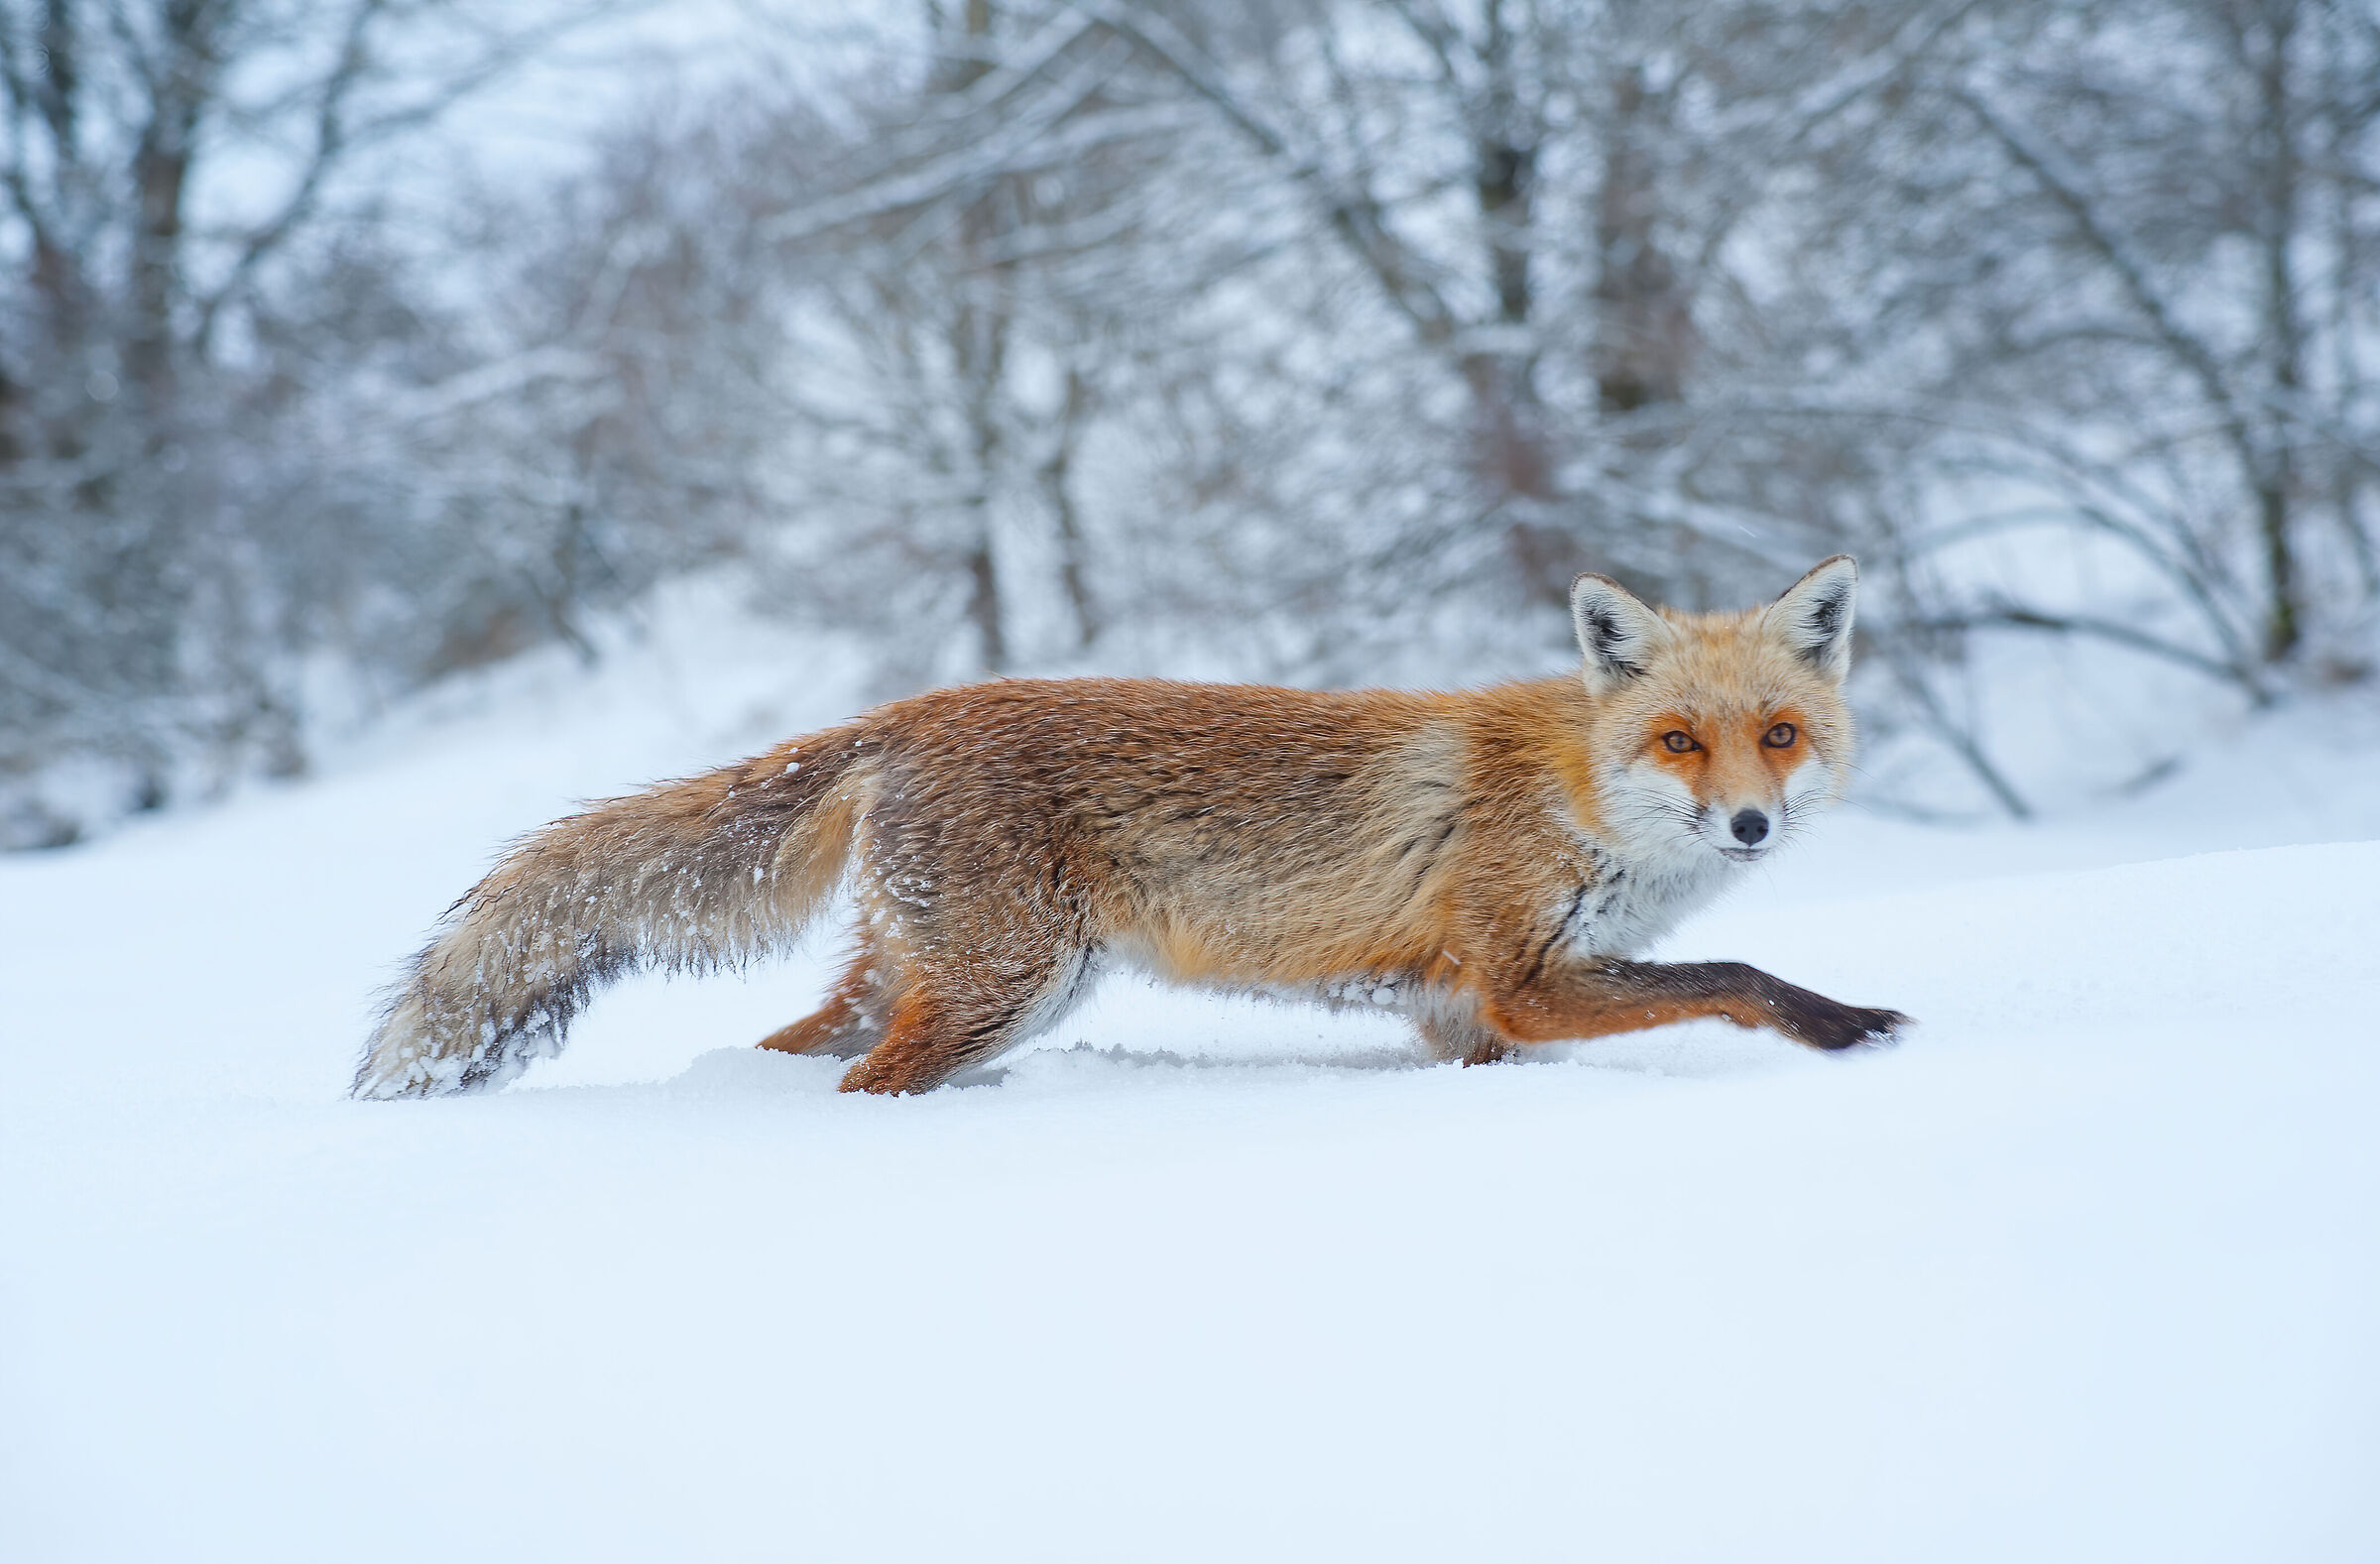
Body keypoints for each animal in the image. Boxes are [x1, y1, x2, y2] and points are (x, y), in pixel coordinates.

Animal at [352, 555, 1907, 1100]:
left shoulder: (1462, 1016)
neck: (1579, 798)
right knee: (861, 1082)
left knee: (793, 1050)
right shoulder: (1523, 980)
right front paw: (1845, 1027)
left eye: (1778, 734)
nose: (1750, 823)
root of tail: (913, 707)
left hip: (942, 981)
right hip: (1005, 984)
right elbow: (1739, 978)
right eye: (1679, 740)